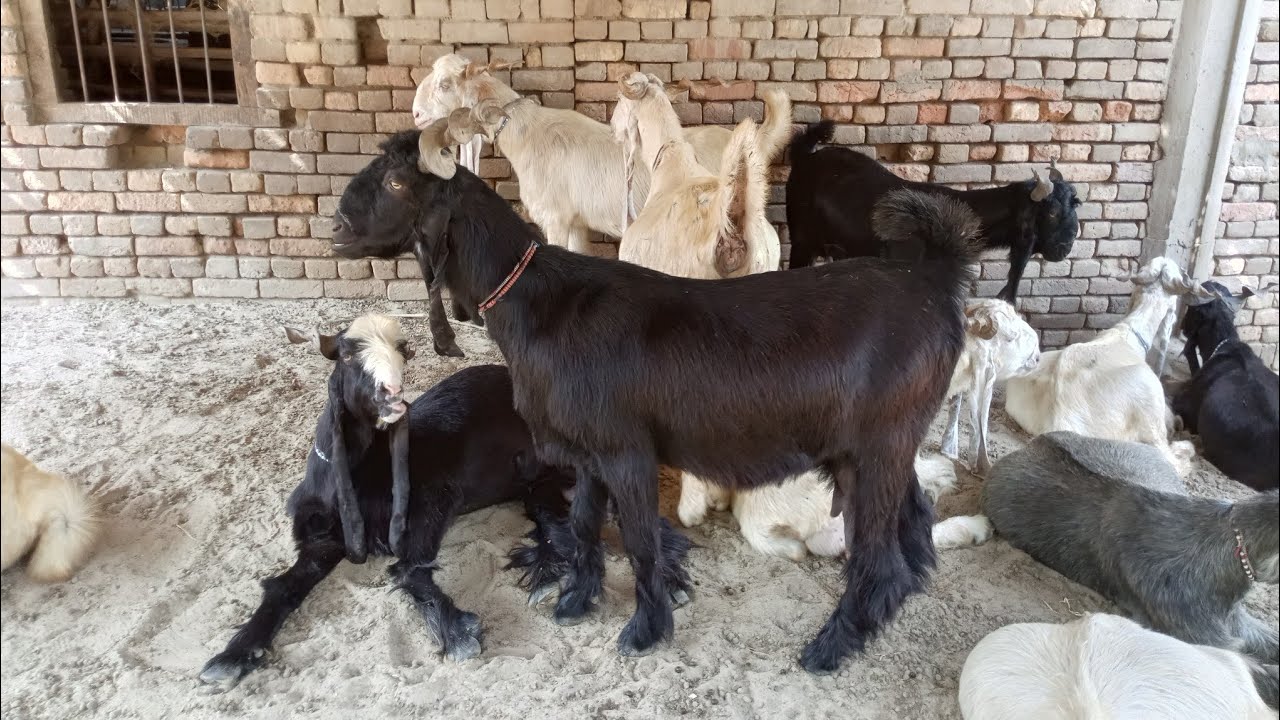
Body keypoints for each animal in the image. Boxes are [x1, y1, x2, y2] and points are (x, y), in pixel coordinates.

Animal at [198, 317, 582, 691]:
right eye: (346, 355)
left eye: (402, 353)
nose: (391, 395)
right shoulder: (322, 540)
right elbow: (282, 586)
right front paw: (232, 656)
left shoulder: (433, 500)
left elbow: (408, 567)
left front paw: (457, 632)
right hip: (536, 482)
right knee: (551, 516)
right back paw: (549, 572)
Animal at [331, 123, 983, 673]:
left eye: (397, 182)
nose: (335, 229)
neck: (538, 301)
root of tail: (934, 279)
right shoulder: (586, 451)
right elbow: (584, 525)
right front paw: (576, 602)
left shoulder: (627, 451)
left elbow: (642, 543)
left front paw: (645, 631)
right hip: (888, 445)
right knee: (914, 527)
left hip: (874, 448)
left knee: (876, 555)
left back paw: (830, 648)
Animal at [410, 54, 792, 255]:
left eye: (445, 84)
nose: (416, 114)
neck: (527, 133)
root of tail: (757, 142)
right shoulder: (577, 222)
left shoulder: (555, 218)